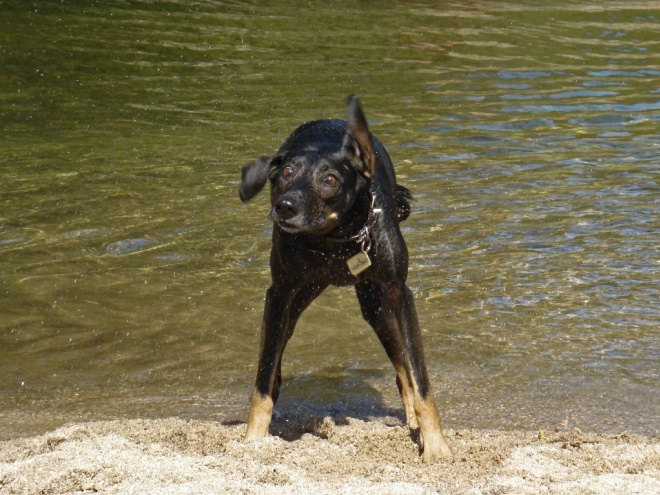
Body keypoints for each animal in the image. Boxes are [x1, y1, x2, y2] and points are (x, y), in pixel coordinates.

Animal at [238, 97, 454, 464]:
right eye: (285, 174)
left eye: (329, 179)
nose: (285, 206)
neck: (333, 241)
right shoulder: (279, 294)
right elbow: (263, 377)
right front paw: (254, 439)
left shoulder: (399, 294)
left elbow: (420, 377)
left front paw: (436, 445)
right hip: (300, 299)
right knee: (277, 350)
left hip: (375, 305)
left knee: (402, 369)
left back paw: (412, 417)